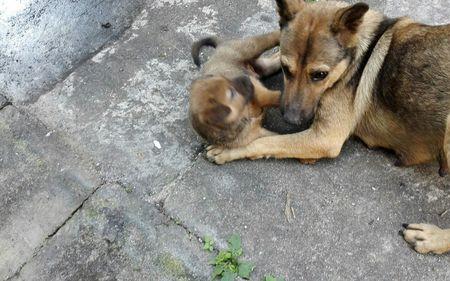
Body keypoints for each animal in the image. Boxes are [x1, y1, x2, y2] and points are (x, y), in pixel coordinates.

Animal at [207, 0, 450, 254]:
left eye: (319, 75)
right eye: (286, 69)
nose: (291, 119)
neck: (357, 54)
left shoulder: (324, 138)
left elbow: (265, 141)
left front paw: (229, 149)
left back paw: (433, 237)